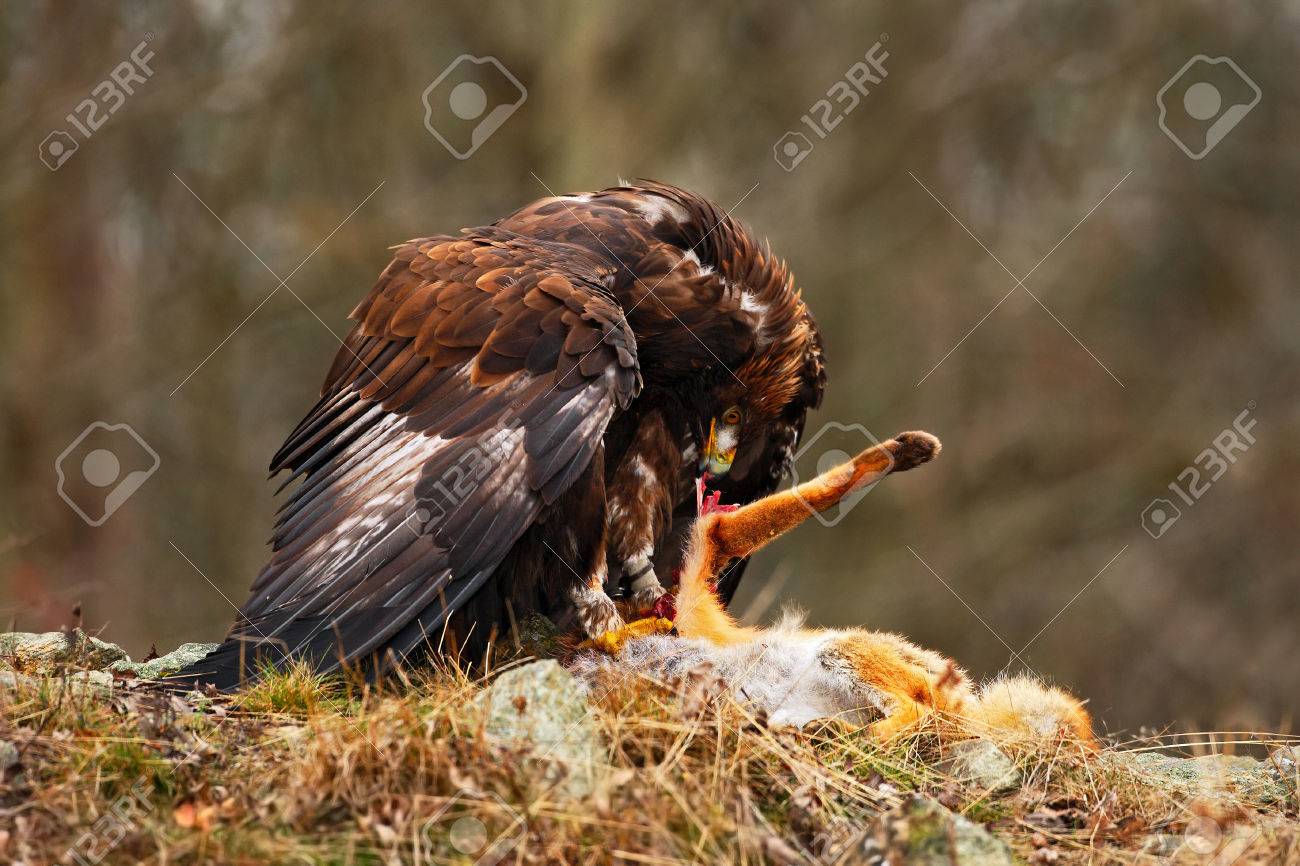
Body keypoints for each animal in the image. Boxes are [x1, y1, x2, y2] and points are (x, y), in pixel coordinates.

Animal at [572, 431, 1095, 746]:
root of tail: (969, 700)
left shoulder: (694, 600)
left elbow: (739, 524)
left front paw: (897, 454)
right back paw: (835, 733)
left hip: (842, 651)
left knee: (920, 713)